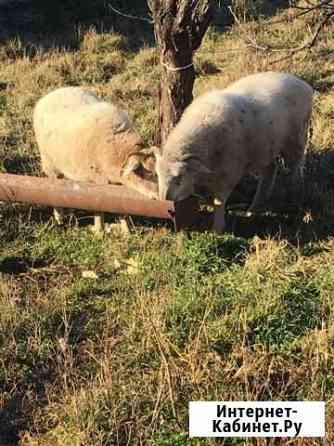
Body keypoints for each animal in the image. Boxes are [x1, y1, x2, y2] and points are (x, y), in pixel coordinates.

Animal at [34, 87, 157, 233]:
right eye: (149, 173)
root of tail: (53, 93)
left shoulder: (117, 182)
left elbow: (121, 206)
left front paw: (126, 231)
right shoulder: (98, 179)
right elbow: (99, 205)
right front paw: (99, 231)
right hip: (49, 163)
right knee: (54, 190)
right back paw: (59, 219)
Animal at [156, 71, 314, 232]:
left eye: (179, 179)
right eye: (158, 176)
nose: (165, 202)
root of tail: (303, 84)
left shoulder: (229, 172)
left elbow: (219, 201)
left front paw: (218, 228)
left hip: (296, 140)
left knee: (295, 171)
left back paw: (294, 202)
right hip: (265, 146)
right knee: (270, 170)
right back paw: (254, 209)